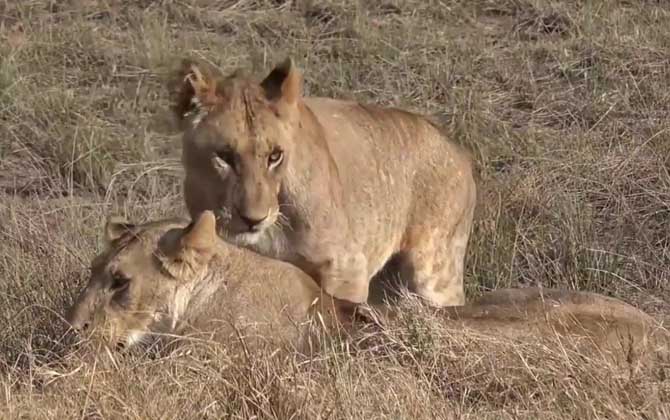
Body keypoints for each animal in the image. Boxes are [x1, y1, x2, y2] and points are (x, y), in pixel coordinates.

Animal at [171, 55, 480, 306]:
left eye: (275, 156)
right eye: (224, 156)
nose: (253, 220)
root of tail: (459, 148)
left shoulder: (347, 268)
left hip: (435, 275)